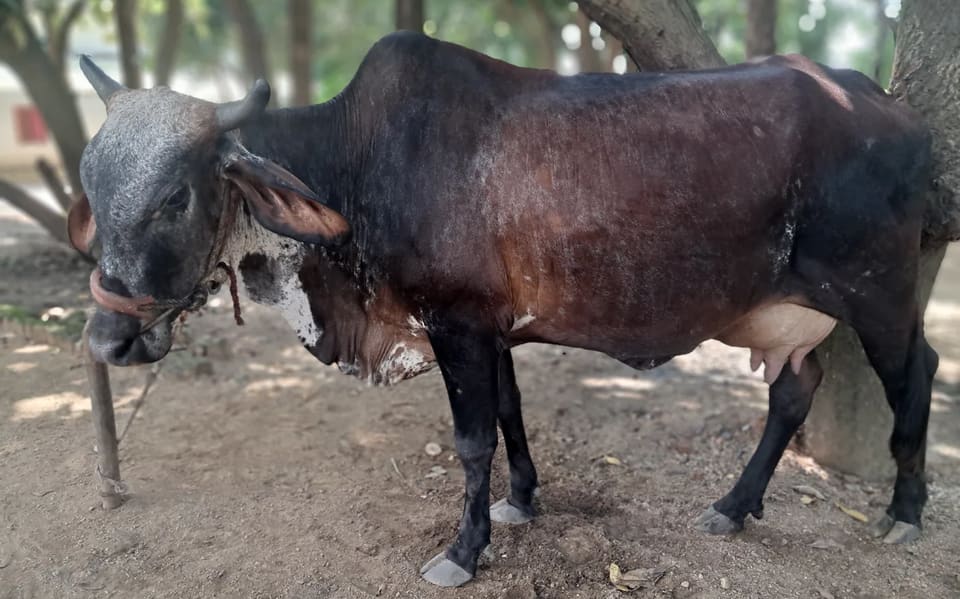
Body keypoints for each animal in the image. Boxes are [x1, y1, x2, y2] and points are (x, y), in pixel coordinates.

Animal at [69, 32, 936, 588]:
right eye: (91, 182)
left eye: (176, 195)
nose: (109, 337)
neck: (356, 163)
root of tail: (884, 104)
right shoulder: (493, 331)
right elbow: (512, 417)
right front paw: (521, 500)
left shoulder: (456, 323)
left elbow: (470, 440)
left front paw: (465, 547)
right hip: (793, 310)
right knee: (795, 388)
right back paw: (734, 504)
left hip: (882, 292)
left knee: (914, 376)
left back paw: (904, 509)